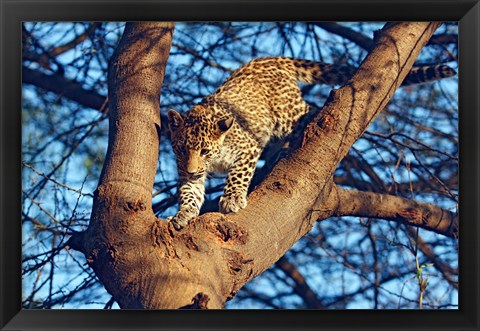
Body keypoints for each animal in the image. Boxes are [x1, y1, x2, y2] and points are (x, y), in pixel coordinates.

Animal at [167, 55, 456, 230]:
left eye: (205, 150)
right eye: (181, 149)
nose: (192, 168)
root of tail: (271, 58)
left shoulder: (246, 148)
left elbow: (238, 175)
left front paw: (232, 198)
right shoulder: (189, 172)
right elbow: (189, 193)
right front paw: (182, 215)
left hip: (286, 112)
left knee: (312, 112)